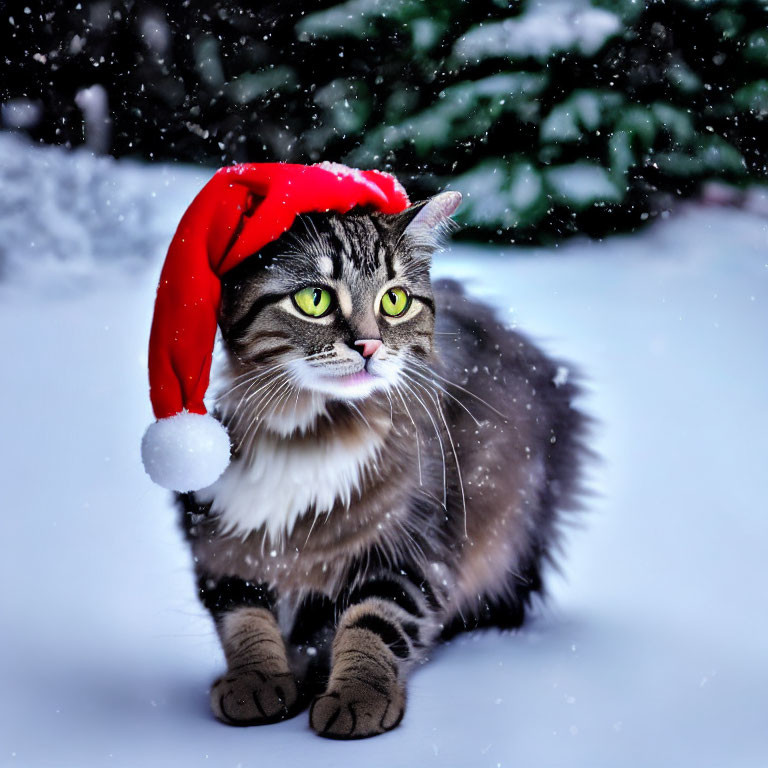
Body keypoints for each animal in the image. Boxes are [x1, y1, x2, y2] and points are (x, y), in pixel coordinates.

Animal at [178, 192, 588, 736]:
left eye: (394, 300)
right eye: (315, 299)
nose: (369, 345)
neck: (308, 433)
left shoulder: (411, 541)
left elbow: (374, 623)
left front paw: (355, 697)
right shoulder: (218, 537)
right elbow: (244, 621)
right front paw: (256, 683)